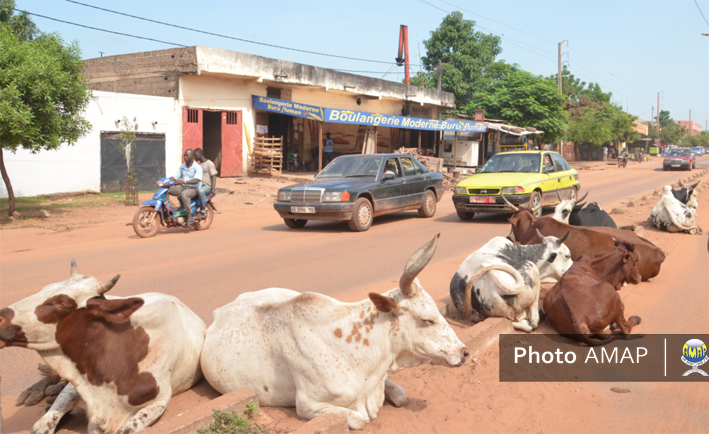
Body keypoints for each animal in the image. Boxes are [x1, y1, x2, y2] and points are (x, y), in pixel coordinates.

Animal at [0, 262, 206, 434]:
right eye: (42, 289)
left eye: (62, 303)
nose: (1, 317)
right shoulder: (74, 386)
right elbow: (42, 425)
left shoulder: (158, 402)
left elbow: (126, 430)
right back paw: (37, 390)